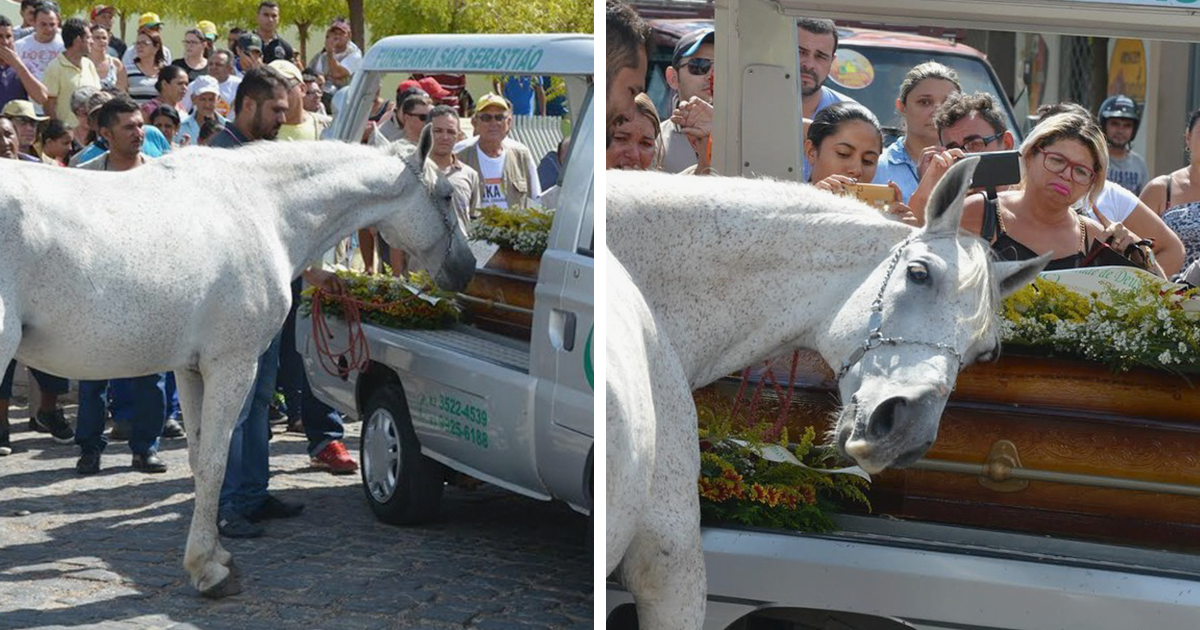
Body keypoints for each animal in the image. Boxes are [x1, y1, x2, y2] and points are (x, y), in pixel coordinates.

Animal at [0, 136, 475, 595]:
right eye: (447, 195)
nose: (466, 268)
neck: (261, 208)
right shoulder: (232, 365)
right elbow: (216, 461)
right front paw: (208, 569)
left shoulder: (190, 369)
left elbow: (196, 459)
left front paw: (214, 555)